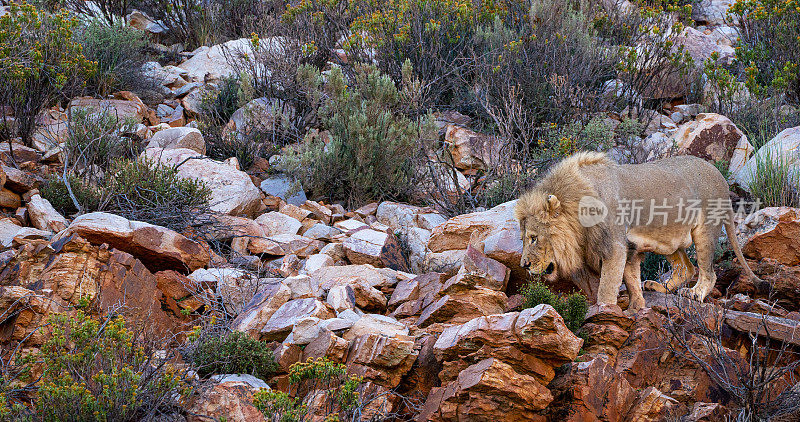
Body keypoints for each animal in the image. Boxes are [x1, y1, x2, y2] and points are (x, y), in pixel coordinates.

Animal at [516, 151, 760, 310]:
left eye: (533, 238)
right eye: (525, 238)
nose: (524, 265)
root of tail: (719, 175)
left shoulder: (615, 247)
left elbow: (607, 286)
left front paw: (605, 309)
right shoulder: (630, 248)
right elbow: (631, 280)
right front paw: (637, 306)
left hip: (705, 231)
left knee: (708, 272)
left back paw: (694, 293)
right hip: (668, 239)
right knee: (686, 268)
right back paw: (657, 286)